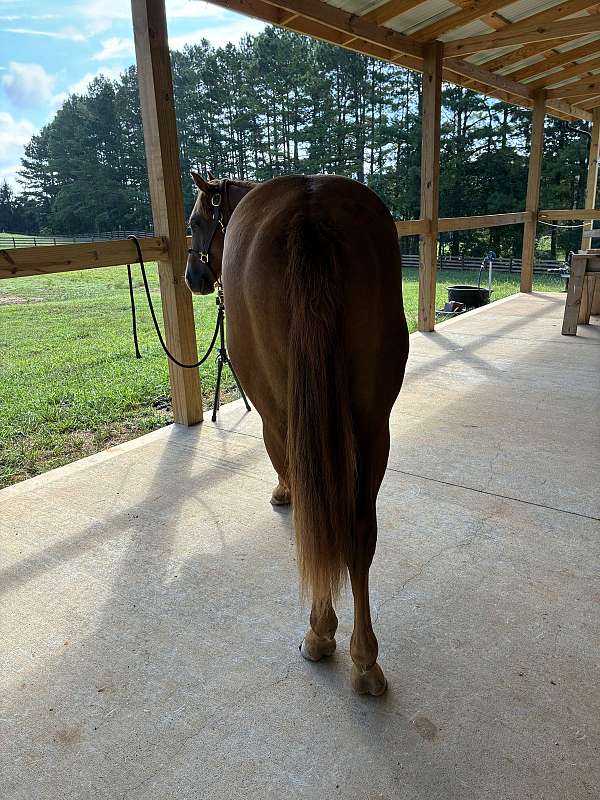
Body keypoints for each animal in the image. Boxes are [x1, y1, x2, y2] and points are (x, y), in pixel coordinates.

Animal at [185, 172, 409, 695]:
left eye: (198, 221)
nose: (192, 277)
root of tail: (311, 209)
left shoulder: (273, 423)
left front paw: (281, 492)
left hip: (288, 414)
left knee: (318, 520)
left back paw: (320, 633)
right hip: (374, 428)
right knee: (358, 532)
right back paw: (365, 660)